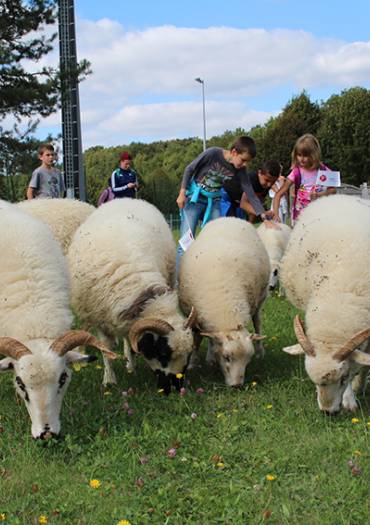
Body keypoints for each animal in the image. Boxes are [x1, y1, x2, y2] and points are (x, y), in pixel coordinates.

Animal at [69, 200, 197, 392]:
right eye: (163, 353)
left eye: (188, 355)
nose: (176, 388)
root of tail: (126, 199)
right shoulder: (100, 316)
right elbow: (106, 349)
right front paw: (109, 380)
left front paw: (131, 365)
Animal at [179, 216, 268, 384]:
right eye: (226, 357)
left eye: (248, 360)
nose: (237, 386)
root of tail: (230, 217)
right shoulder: (194, 315)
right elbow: (196, 341)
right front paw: (192, 364)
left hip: (260, 299)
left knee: (257, 322)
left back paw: (261, 352)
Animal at [280, 194, 370, 412]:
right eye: (314, 382)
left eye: (344, 377)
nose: (328, 412)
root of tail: (340, 195)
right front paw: (350, 397)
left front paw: (354, 392)